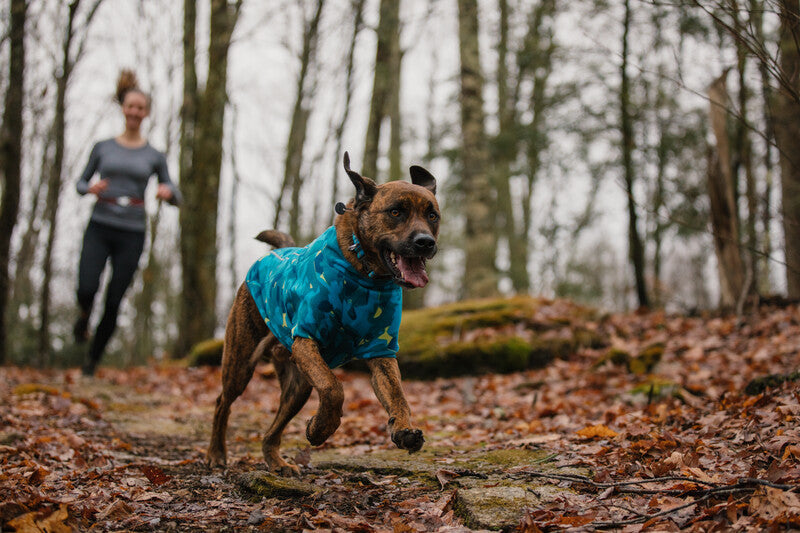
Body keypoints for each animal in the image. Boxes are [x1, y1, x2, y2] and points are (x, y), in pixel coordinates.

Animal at [206, 151, 440, 474]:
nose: (425, 242)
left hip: (298, 386)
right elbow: (332, 388)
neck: (364, 274)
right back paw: (216, 453)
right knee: (222, 402)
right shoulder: (306, 340)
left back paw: (276, 460)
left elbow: (398, 395)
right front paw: (321, 429)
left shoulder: (381, 351)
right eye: (395, 212)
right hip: (240, 362)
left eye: (432, 215)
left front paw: (403, 428)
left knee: (272, 430)